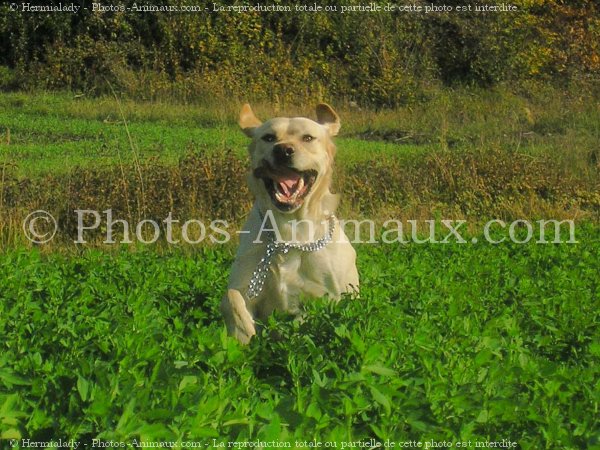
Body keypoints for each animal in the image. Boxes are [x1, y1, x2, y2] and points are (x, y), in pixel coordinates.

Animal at [221, 103, 358, 342]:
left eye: (308, 138)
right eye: (268, 137)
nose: (283, 150)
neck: (291, 229)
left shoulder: (327, 294)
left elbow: (306, 317)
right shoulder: (247, 283)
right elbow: (232, 298)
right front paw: (243, 335)